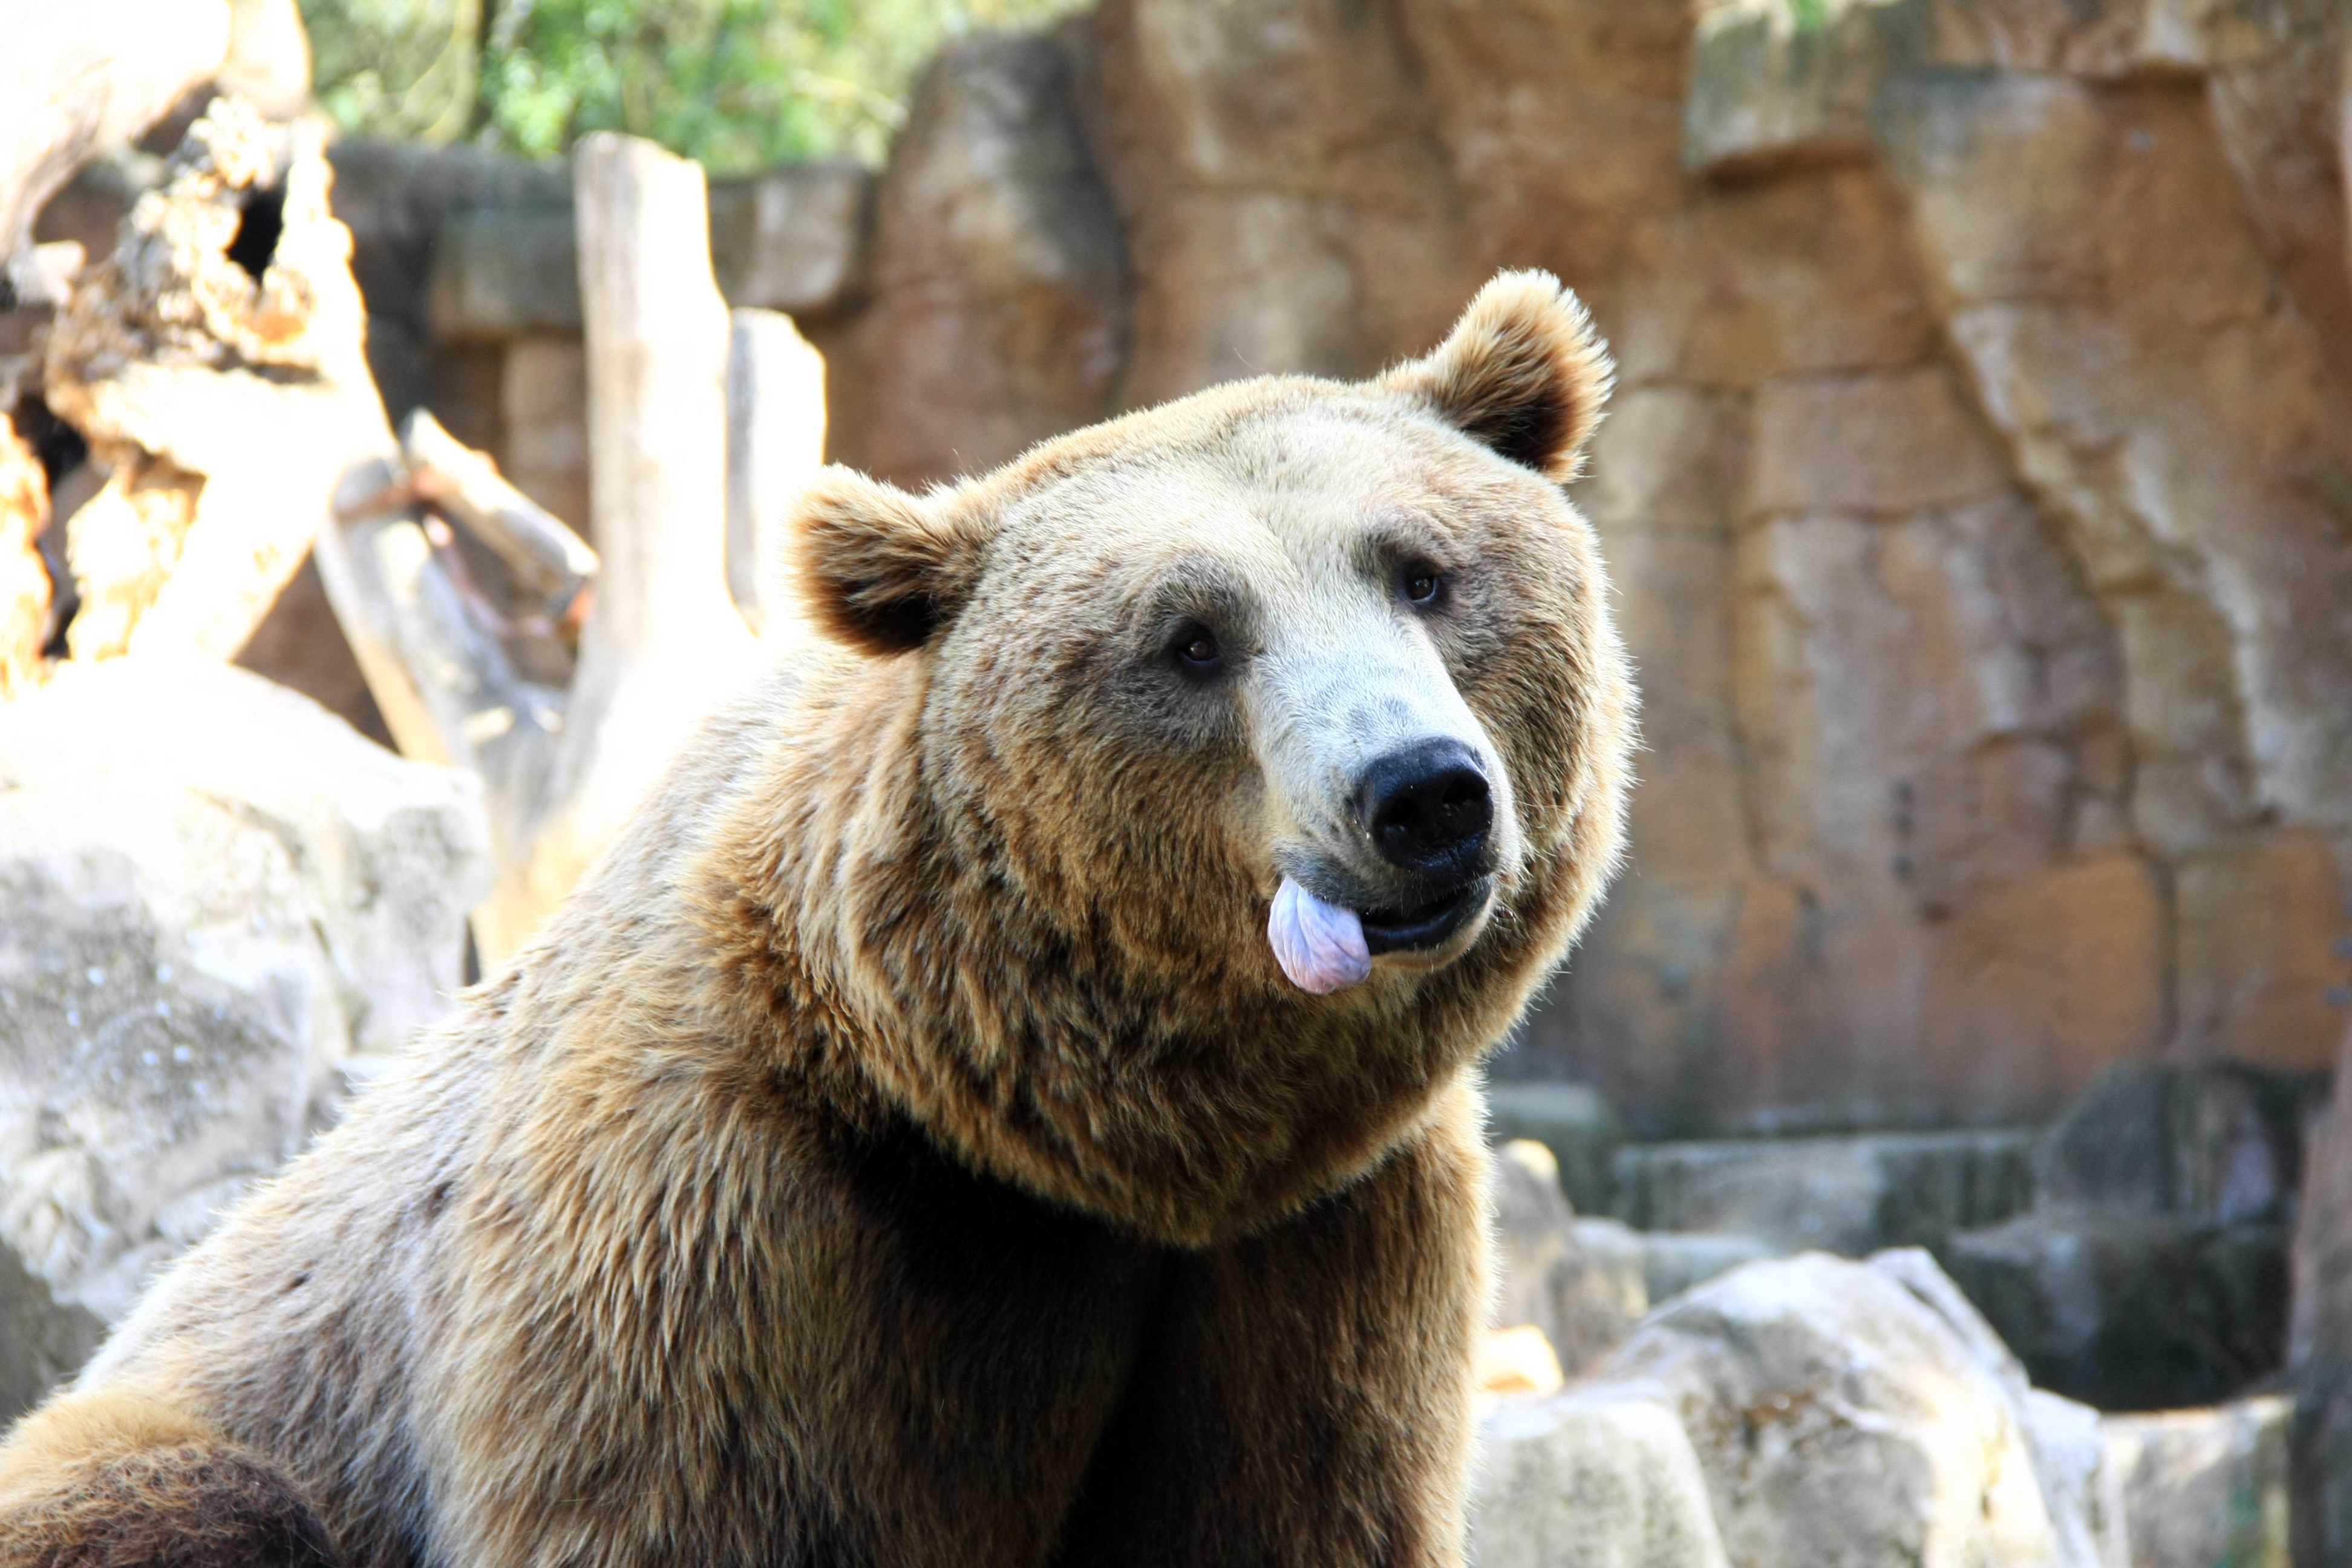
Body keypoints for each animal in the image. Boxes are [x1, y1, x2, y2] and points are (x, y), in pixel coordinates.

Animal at [0, 272, 1637, 1568]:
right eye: (1192, 638)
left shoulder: (1327, 1243)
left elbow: (1299, 1504)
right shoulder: (728, 1236)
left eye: (1422, 572)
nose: (1420, 793)